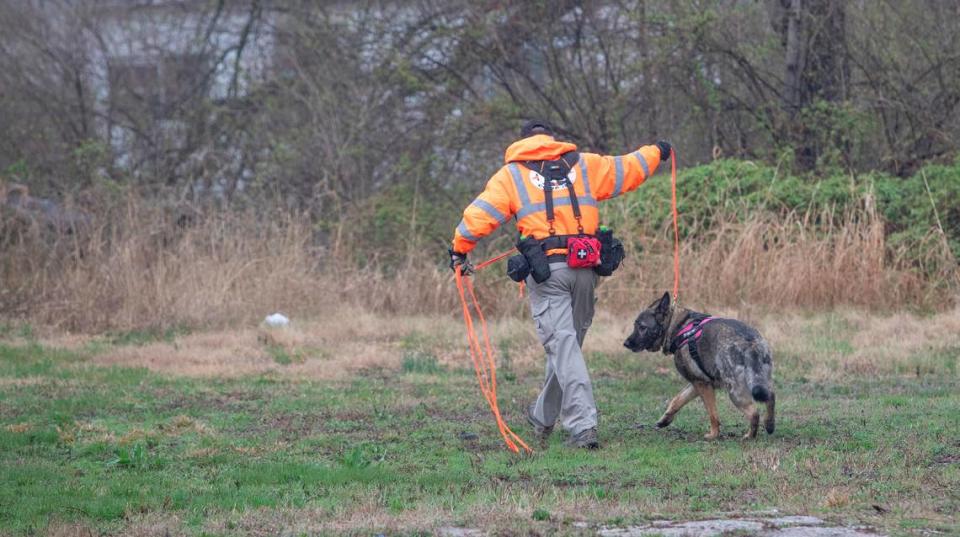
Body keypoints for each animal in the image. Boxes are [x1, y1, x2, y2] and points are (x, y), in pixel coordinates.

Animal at [628, 294, 776, 440]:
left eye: (642, 327)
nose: (626, 343)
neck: (677, 326)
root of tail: (750, 343)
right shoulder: (697, 383)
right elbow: (678, 400)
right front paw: (665, 420)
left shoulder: (702, 385)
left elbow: (713, 414)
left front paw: (713, 435)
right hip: (759, 383)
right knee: (771, 396)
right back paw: (769, 424)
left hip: (735, 393)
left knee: (754, 413)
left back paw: (750, 436)